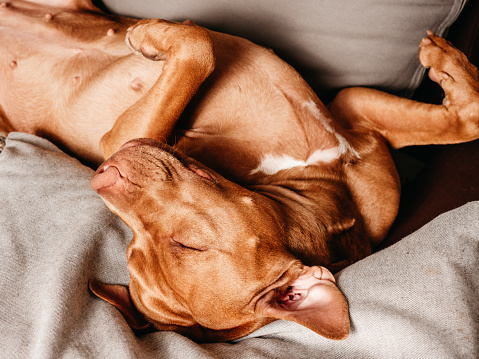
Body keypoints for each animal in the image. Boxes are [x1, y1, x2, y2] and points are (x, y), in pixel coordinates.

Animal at [1, 0, 478, 344]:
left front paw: (451, 66)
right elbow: (199, 48)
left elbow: (465, 119)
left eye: (188, 245)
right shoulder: (122, 133)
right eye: (133, 245)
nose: (102, 175)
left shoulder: (352, 117)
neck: (331, 199)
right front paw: (149, 34)